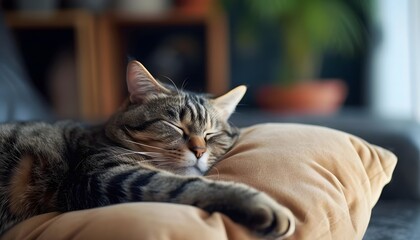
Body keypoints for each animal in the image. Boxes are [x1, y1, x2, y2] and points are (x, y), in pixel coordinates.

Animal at [0, 60, 296, 238]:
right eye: (175, 126)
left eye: (211, 134)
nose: (199, 151)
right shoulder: (100, 176)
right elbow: (189, 185)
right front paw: (267, 206)